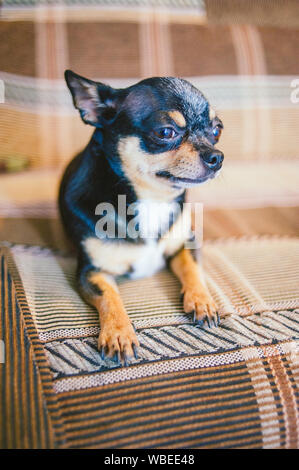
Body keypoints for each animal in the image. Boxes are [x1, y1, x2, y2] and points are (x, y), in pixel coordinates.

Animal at [60, 70, 225, 366]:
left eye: (217, 130)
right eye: (165, 132)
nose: (217, 157)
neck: (151, 199)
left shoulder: (186, 243)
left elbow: (193, 269)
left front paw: (201, 300)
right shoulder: (91, 272)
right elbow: (110, 296)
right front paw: (118, 333)